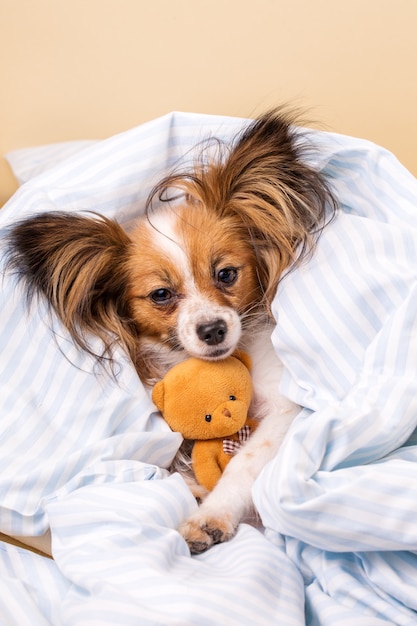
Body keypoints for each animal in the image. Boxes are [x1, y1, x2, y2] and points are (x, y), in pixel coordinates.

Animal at [4, 107, 336, 552]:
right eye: (161, 294)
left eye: (226, 274)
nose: (212, 330)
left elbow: (244, 464)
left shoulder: (286, 410)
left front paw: (211, 516)